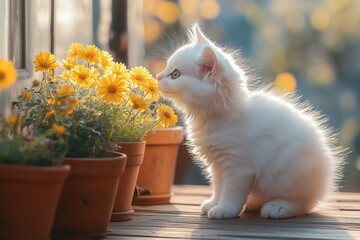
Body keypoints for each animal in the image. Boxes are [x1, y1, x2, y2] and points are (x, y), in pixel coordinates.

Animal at [157, 25, 344, 218]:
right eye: (167, 68)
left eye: (175, 74)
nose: (157, 77)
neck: (216, 116)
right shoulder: (217, 165)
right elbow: (218, 187)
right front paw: (214, 203)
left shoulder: (238, 166)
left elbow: (231, 192)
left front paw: (225, 209)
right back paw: (253, 203)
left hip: (290, 175)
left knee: (304, 204)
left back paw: (277, 207)